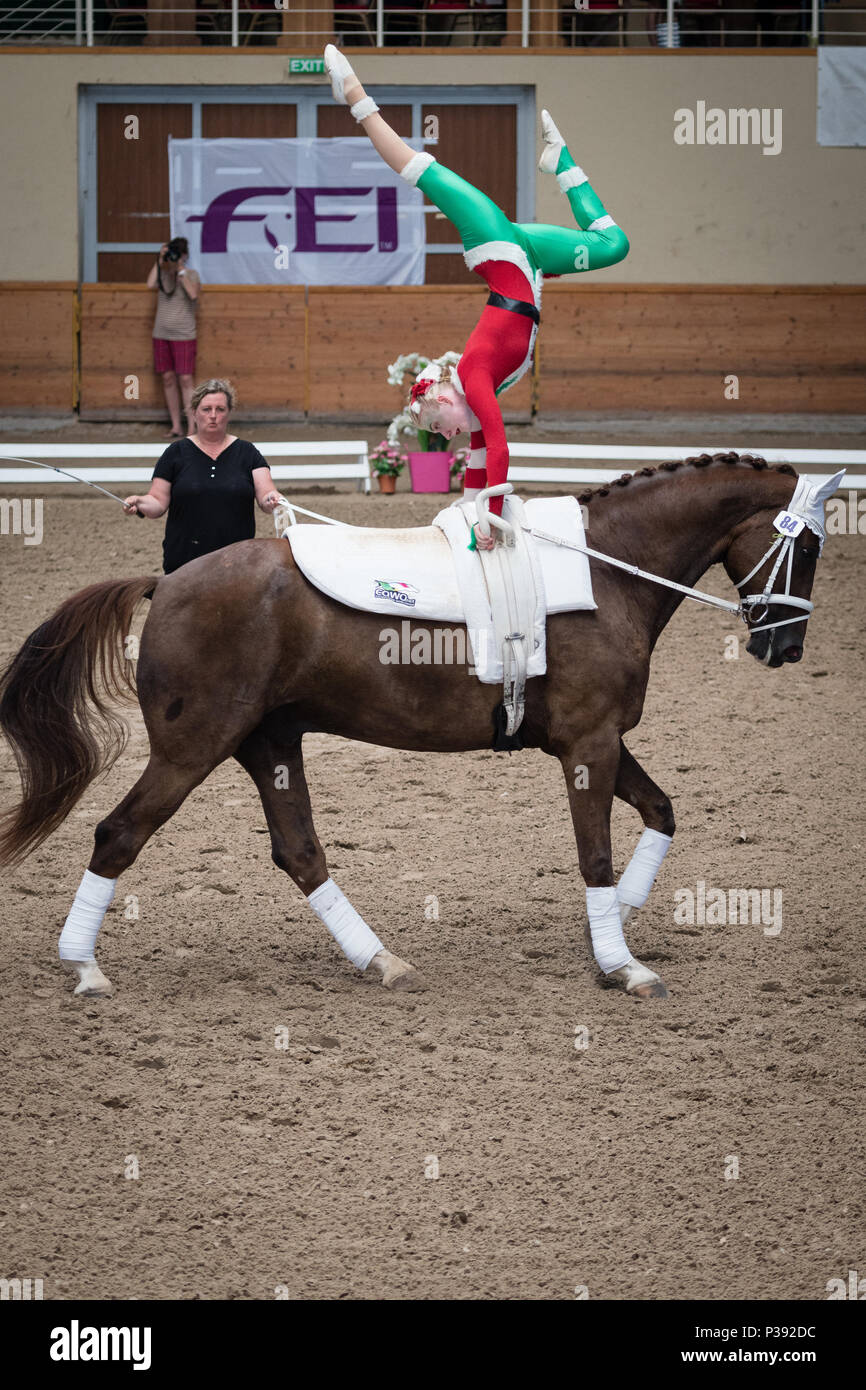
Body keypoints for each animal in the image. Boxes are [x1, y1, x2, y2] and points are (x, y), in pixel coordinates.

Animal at [0, 453, 839, 1000]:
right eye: (808, 544)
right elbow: (595, 853)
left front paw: (617, 924)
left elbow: (661, 812)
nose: (786, 647)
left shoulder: (598, 741)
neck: (607, 569)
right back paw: (84, 967)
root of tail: (166, 581)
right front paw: (621, 963)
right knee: (119, 835)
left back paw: (382, 962)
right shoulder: (590, 744)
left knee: (299, 853)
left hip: (269, 744)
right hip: (191, 748)